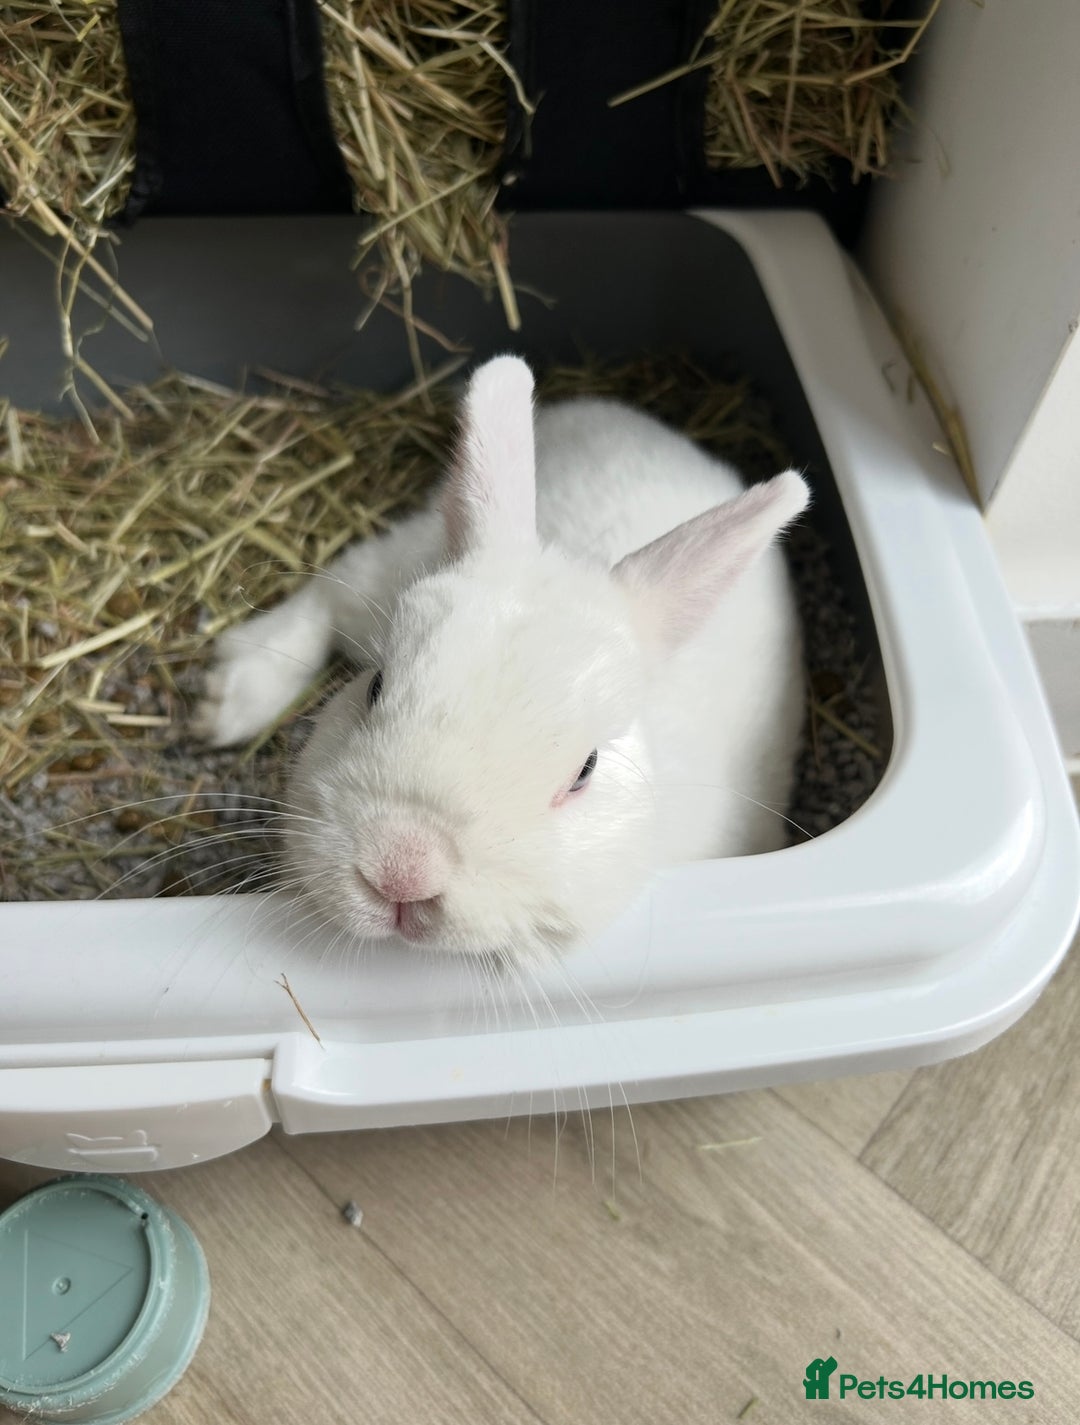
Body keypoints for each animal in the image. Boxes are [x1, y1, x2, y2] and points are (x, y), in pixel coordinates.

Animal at [193, 356, 809, 962]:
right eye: (375, 686)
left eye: (585, 771)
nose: (401, 872)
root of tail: (621, 415)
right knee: (332, 591)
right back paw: (226, 702)